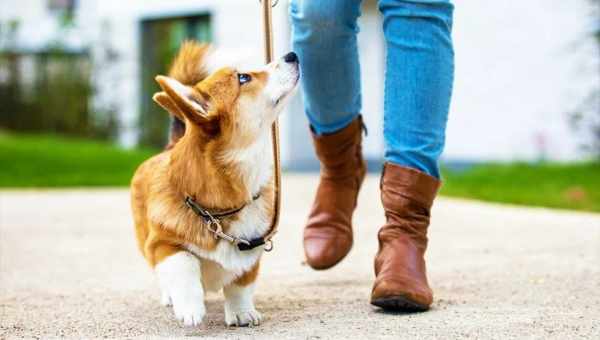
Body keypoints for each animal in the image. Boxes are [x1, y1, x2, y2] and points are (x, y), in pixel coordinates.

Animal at [131, 41, 300, 326]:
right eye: (243, 78)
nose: (292, 55)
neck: (218, 211)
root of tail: (171, 145)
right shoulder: (161, 245)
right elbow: (184, 263)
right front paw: (190, 308)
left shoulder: (251, 251)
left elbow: (240, 285)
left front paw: (242, 313)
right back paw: (170, 297)